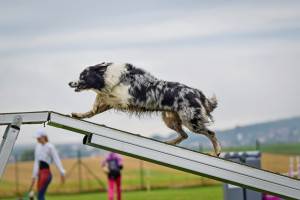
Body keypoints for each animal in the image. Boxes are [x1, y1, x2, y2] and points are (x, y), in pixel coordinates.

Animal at [69, 62, 221, 156]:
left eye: (82, 76)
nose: (69, 83)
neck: (108, 75)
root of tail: (197, 92)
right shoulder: (115, 100)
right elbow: (95, 108)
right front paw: (80, 114)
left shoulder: (123, 98)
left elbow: (100, 95)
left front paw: (94, 105)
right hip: (170, 119)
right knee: (184, 135)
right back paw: (169, 142)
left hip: (191, 121)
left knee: (210, 133)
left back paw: (217, 152)